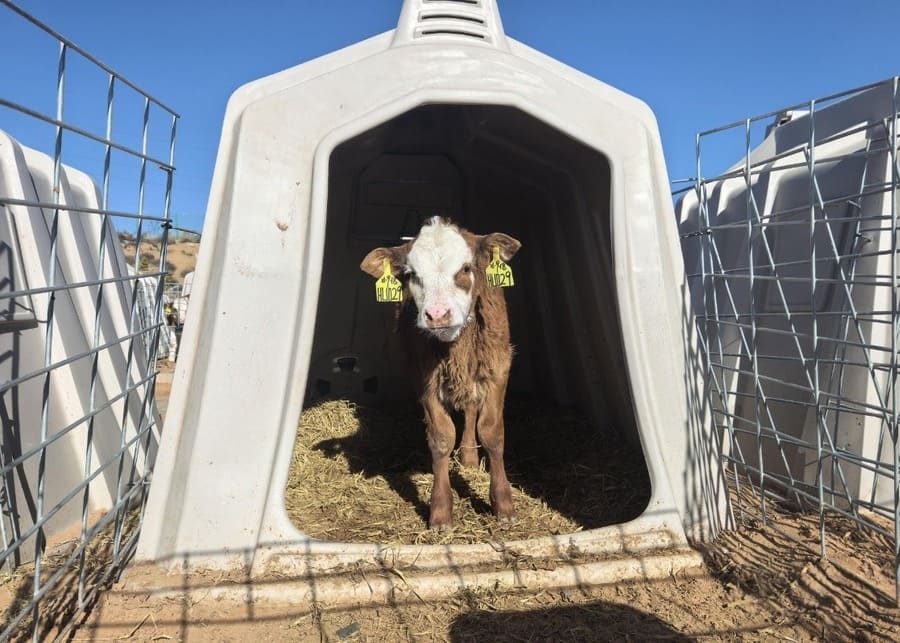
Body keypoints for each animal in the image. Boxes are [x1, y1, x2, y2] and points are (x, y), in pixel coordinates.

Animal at [360, 216, 521, 530]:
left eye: (466, 268)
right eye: (411, 274)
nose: (437, 315)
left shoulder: (497, 367)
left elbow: (492, 432)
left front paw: (503, 505)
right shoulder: (424, 378)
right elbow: (441, 438)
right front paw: (441, 511)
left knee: (472, 410)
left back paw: (470, 455)